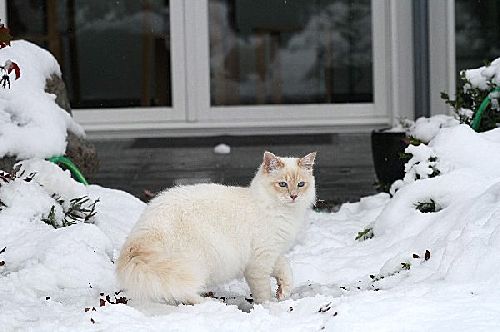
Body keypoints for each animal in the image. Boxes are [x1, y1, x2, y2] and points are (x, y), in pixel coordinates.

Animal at [115, 152, 314, 304]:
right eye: (282, 184)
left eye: (301, 184)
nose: (294, 196)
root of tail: (144, 231)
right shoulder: (259, 262)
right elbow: (263, 292)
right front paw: (270, 307)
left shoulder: (271, 254)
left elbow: (285, 268)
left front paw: (283, 291)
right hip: (193, 266)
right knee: (184, 293)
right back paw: (209, 303)